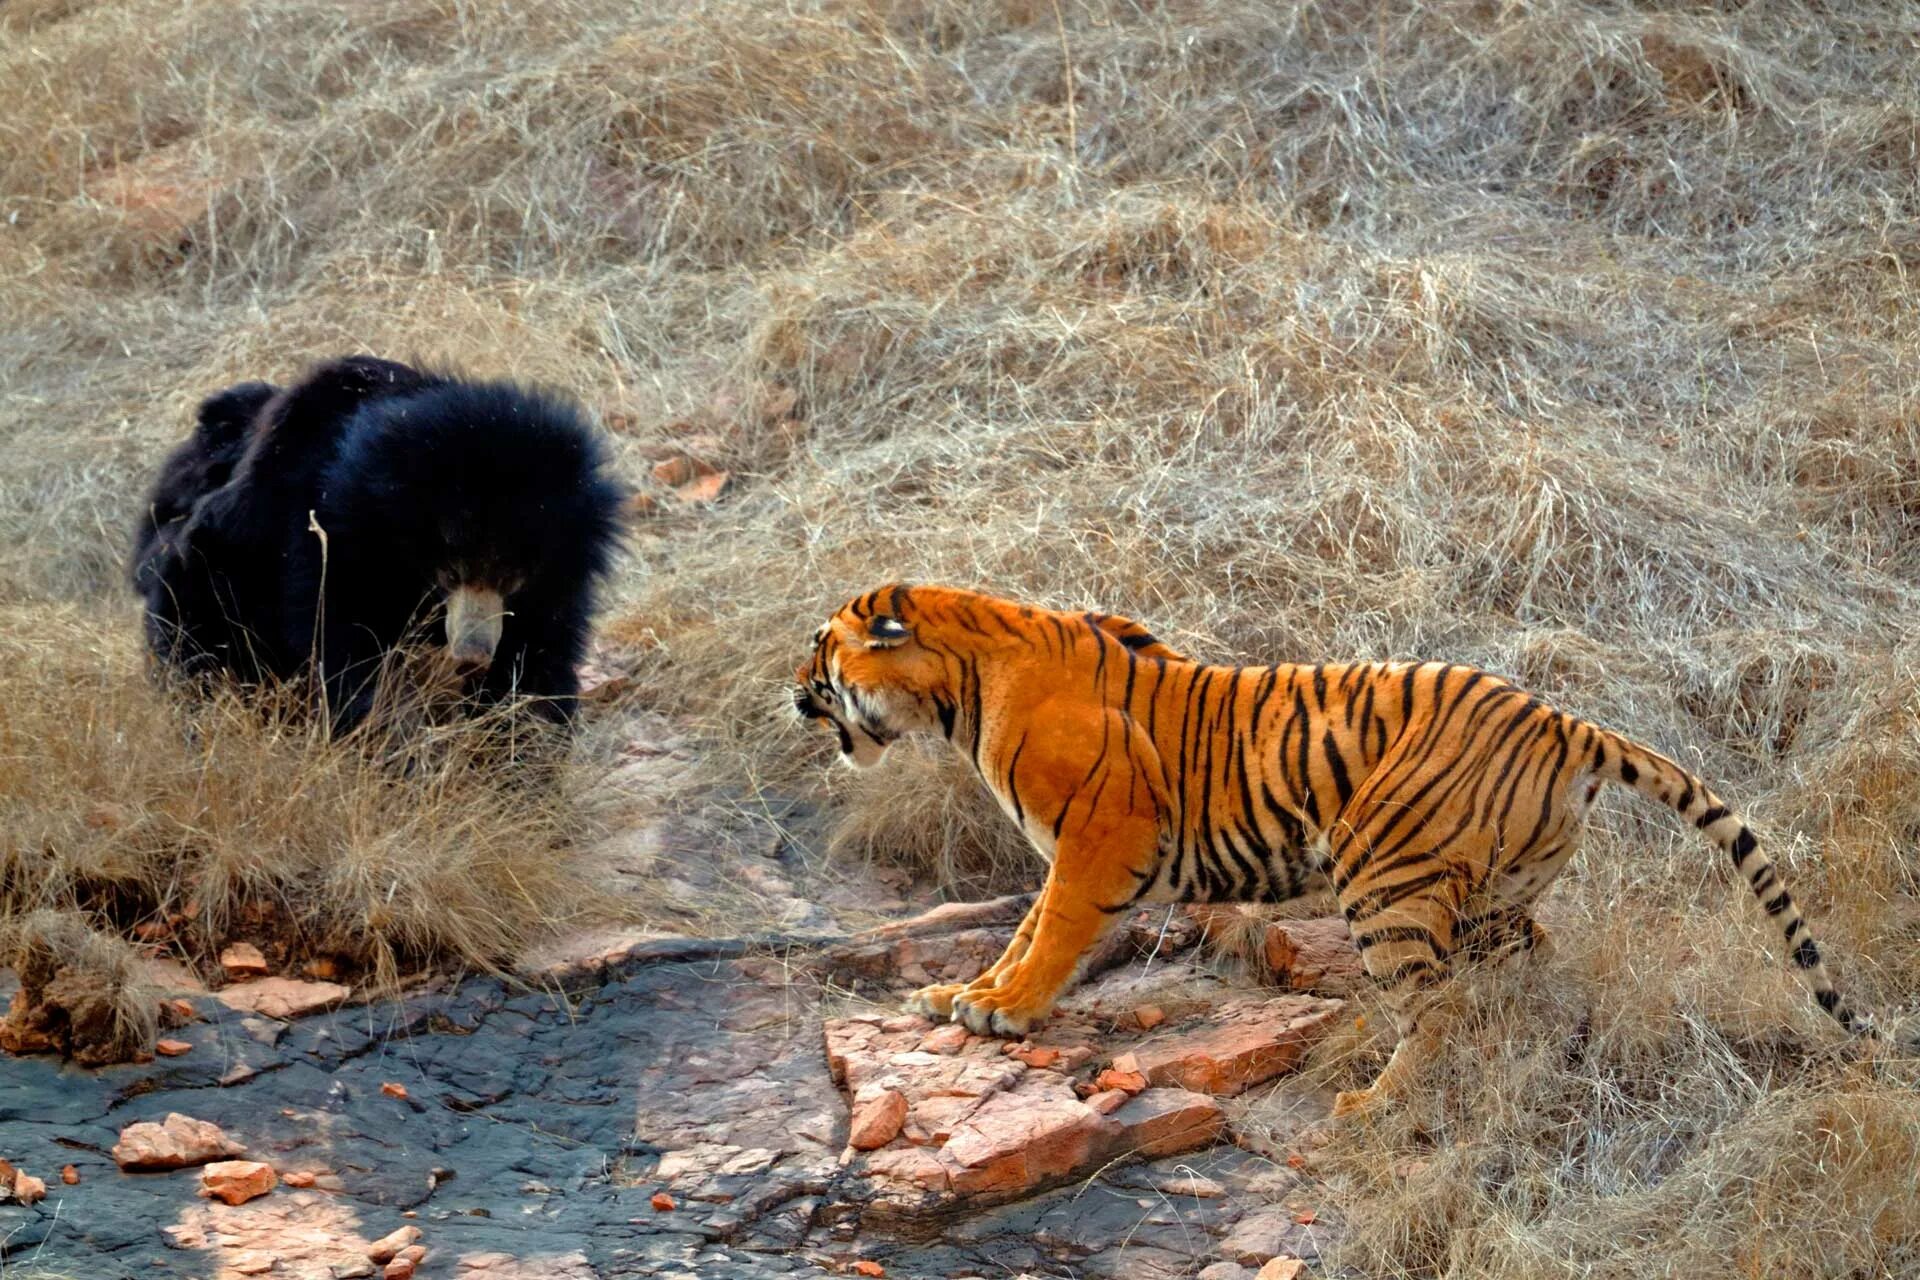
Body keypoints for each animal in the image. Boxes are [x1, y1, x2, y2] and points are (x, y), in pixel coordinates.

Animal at [135, 355, 629, 736]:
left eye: (514, 578)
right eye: (449, 571)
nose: (472, 656)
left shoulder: (558, 583)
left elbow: (539, 656)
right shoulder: (327, 549)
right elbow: (351, 652)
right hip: (205, 572)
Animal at [794, 587, 1873, 1113]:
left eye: (820, 651)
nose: (793, 694)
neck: (958, 690)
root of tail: (1563, 720)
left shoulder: (1101, 840)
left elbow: (1051, 930)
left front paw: (1001, 1010)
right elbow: (1023, 930)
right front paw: (962, 994)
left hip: (1383, 877)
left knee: (1435, 1011)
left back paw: (1372, 1104)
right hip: (1492, 896)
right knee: (1526, 970)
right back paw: (1531, 1051)